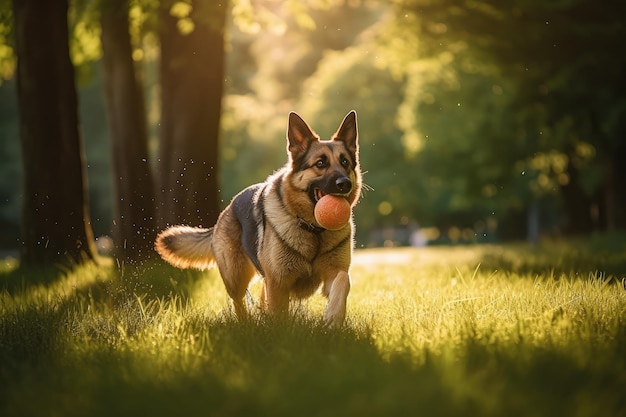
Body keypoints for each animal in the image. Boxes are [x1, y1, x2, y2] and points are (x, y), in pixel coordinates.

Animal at [154, 110, 360, 324]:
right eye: (320, 163)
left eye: (345, 162)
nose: (344, 183)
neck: (313, 230)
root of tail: (228, 208)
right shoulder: (278, 282)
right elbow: (279, 314)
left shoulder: (333, 273)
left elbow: (343, 281)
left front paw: (333, 318)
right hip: (236, 277)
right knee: (238, 301)